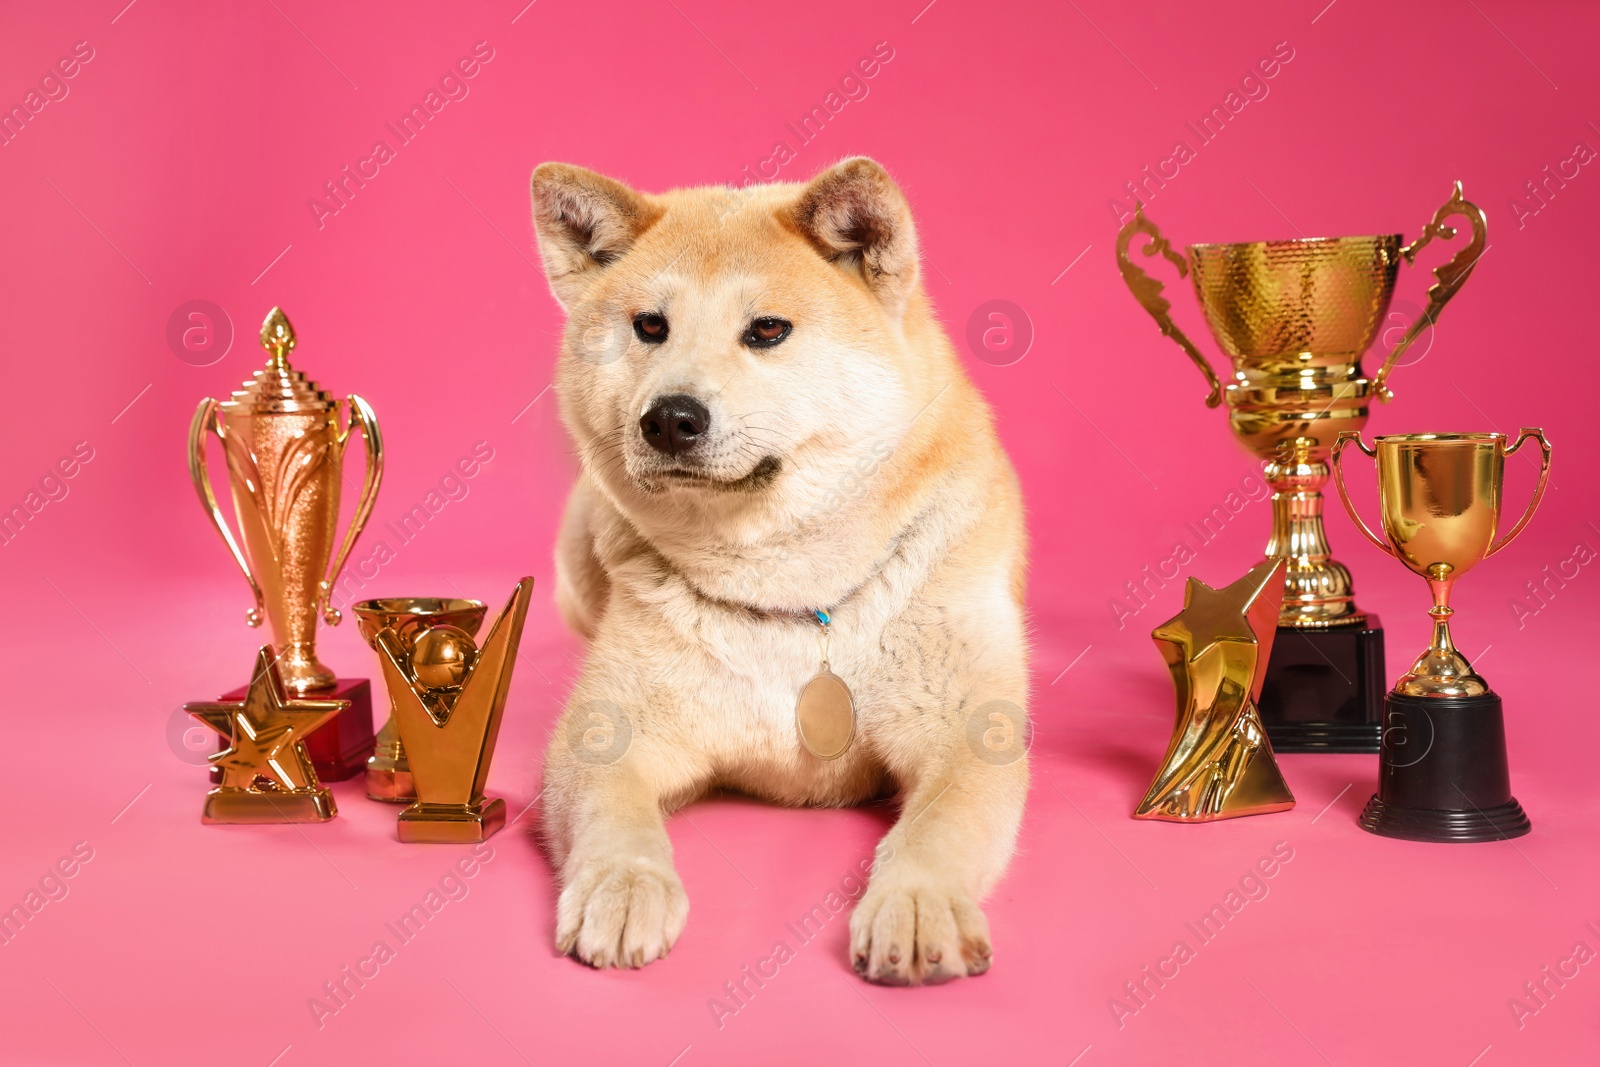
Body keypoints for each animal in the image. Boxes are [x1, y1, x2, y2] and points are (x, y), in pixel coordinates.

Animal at [531, 156, 1030, 985]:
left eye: (767, 330)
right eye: (650, 326)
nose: (670, 417)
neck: (798, 599)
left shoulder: (967, 733)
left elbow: (938, 828)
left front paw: (917, 901)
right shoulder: (607, 735)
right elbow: (614, 815)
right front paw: (624, 884)